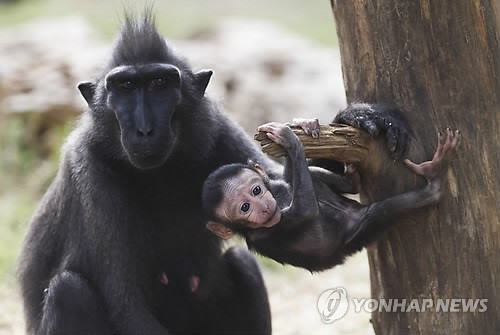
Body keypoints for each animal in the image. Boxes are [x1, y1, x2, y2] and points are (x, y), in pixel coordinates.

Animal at [201, 121, 458, 272]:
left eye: (256, 190)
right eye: (245, 207)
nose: (263, 206)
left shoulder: (275, 185)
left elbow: (287, 179)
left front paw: (301, 128)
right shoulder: (269, 229)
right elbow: (306, 210)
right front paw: (291, 141)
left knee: (308, 177)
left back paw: (350, 180)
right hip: (360, 231)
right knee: (384, 210)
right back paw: (434, 180)